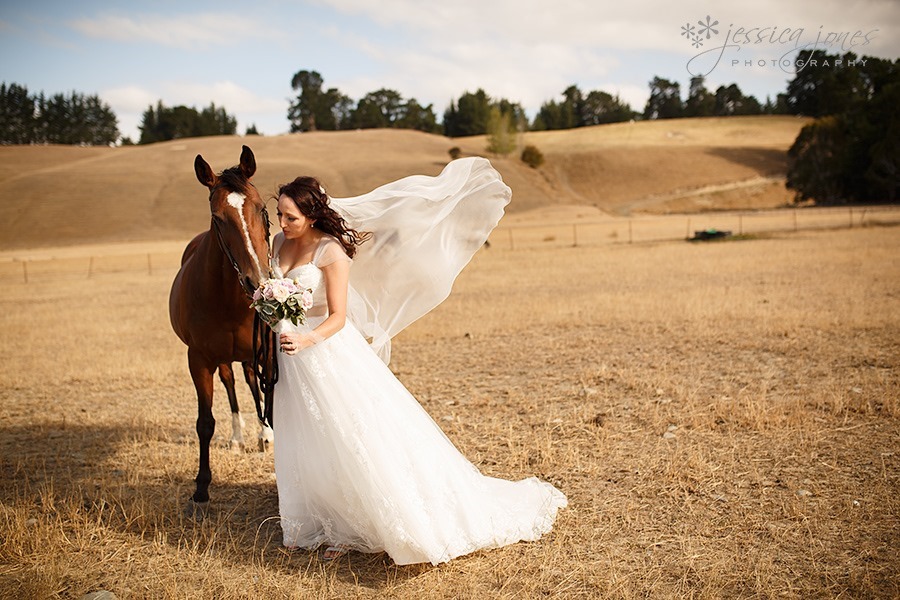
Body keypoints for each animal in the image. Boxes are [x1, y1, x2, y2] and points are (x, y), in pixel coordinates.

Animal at [168, 145, 274, 510]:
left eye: (262, 209)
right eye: (218, 218)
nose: (257, 280)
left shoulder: (266, 353)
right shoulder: (198, 360)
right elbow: (205, 423)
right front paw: (201, 488)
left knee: (252, 384)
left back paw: (263, 436)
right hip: (224, 358)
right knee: (231, 385)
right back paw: (239, 438)